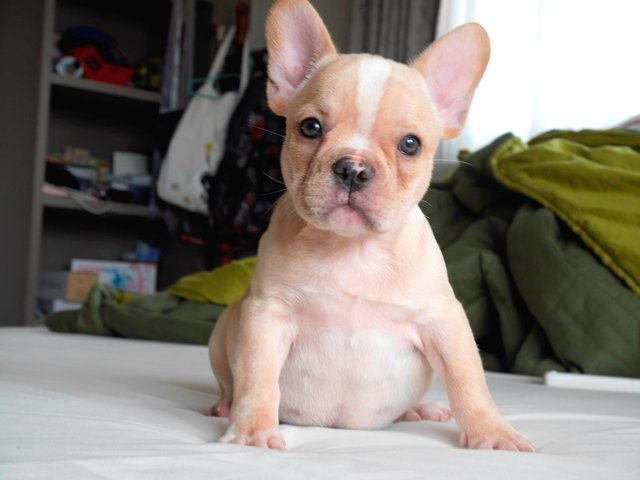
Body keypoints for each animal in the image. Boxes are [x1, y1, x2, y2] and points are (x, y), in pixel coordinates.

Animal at [208, 0, 535, 452]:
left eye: (410, 144)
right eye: (310, 128)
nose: (354, 167)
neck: (354, 248)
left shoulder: (444, 322)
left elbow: (469, 381)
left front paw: (493, 433)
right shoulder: (266, 315)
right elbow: (258, 378)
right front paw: (252, 431)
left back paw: (418, 410)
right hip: (224, 329)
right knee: (229, 381)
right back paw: (225, 405)